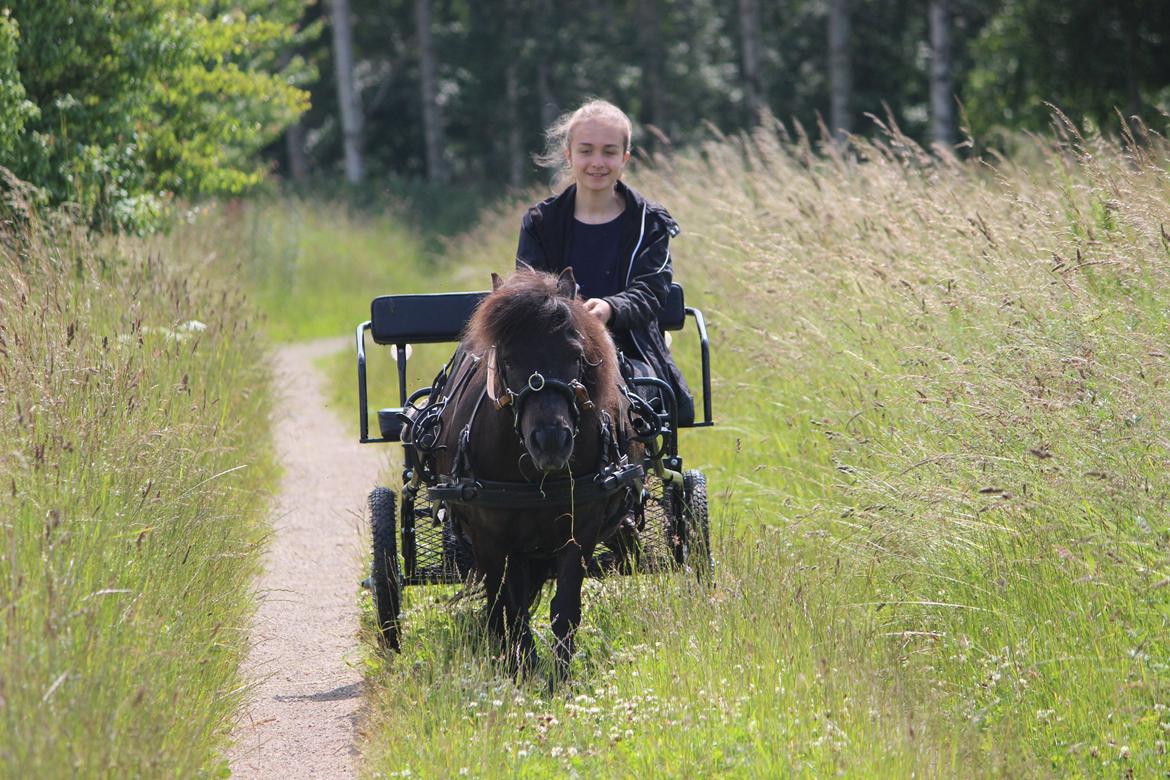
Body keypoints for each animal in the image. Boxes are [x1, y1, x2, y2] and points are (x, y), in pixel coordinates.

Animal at [430, 266, 641, 678]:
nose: (551, 441)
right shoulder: (490, 537)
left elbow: (565, 608)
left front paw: (559, 677)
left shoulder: (580, 529)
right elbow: (507, 609)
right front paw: (521, 670)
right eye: (509, 360)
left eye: (575, 355)